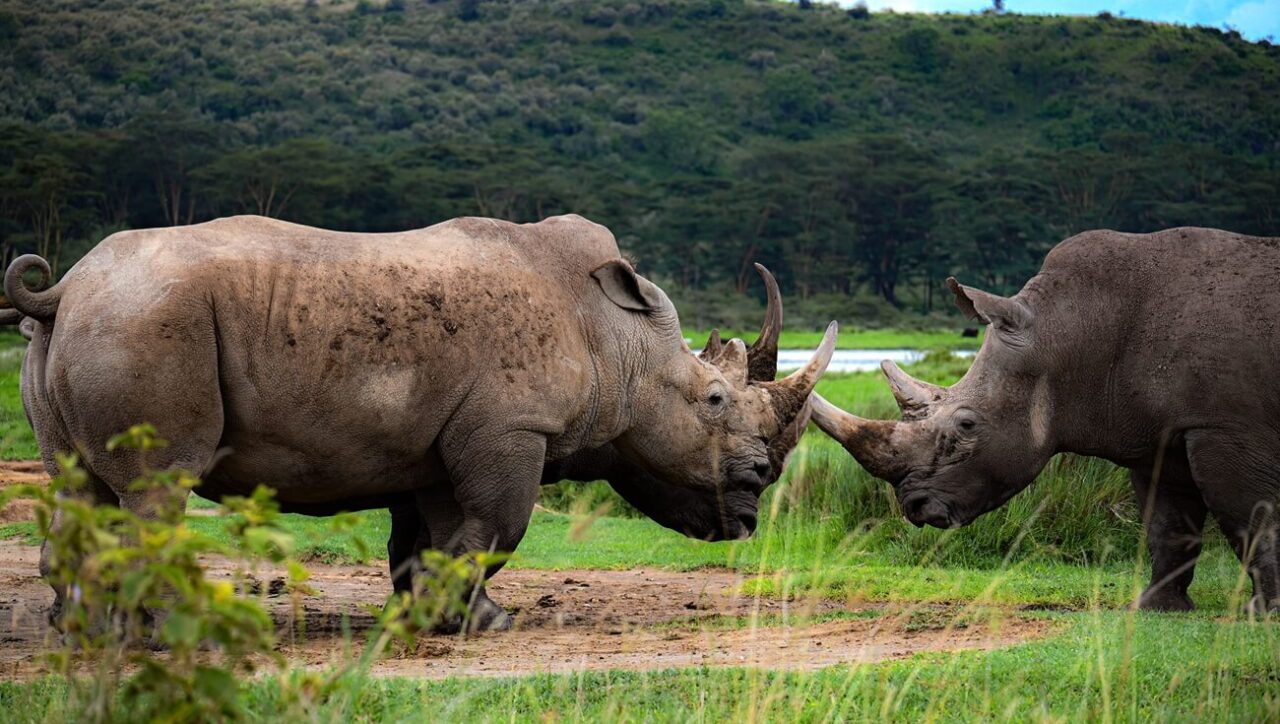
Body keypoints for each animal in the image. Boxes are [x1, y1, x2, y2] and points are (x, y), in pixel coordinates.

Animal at [5, 214, 835, 631]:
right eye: (715, 402)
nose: (758, 484)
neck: (617, 338)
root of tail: (64, 287)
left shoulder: (436, 439)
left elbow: (433, 534)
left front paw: (444, 616)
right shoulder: (513, 426)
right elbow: (500, 526)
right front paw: (469, 617)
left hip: (91, 325)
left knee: (76, 483)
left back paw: (91, 632)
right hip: (147, 320)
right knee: (159, 487)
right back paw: (178, 628)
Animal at [811, 227, 1280, 613]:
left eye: (967, 426)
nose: (916, 507)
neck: (1070, 332)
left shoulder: (1225, 427)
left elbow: (1251, 516)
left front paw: (1265, 612)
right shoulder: (1160, 433)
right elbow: (1167, 523)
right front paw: (1157, 607)